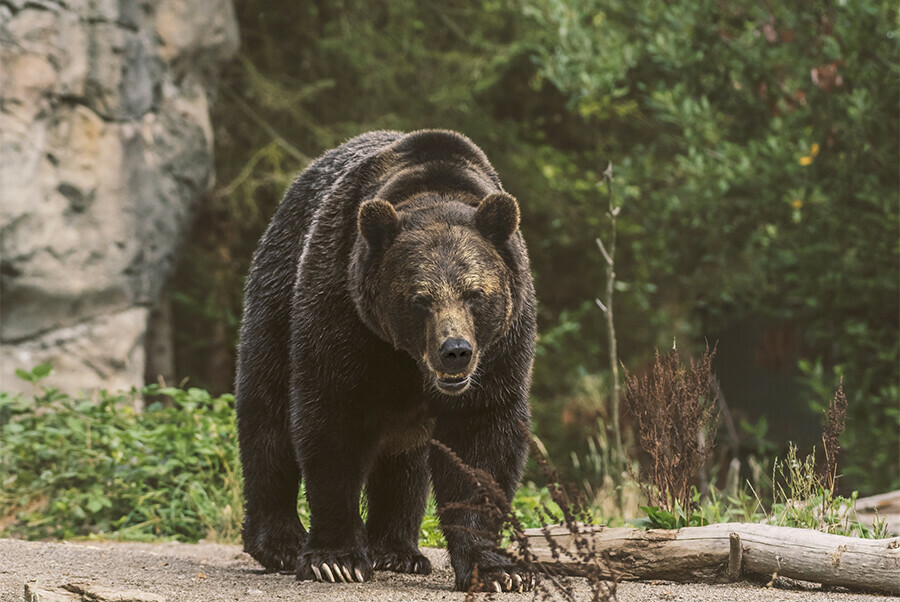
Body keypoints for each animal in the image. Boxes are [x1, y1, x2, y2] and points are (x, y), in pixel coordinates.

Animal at [235, 129, 536, 592]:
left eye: (474, 293)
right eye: (419, 298)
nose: (456, 351)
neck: (407, 359)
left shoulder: (502, 350)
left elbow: (481, 442)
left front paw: (497, 569)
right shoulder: (343, 313)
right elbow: (331, 423)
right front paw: (335, 559)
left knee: (404, 461)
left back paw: (398, 551)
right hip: (276, 297)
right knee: (267, 419)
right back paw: (280, 543)